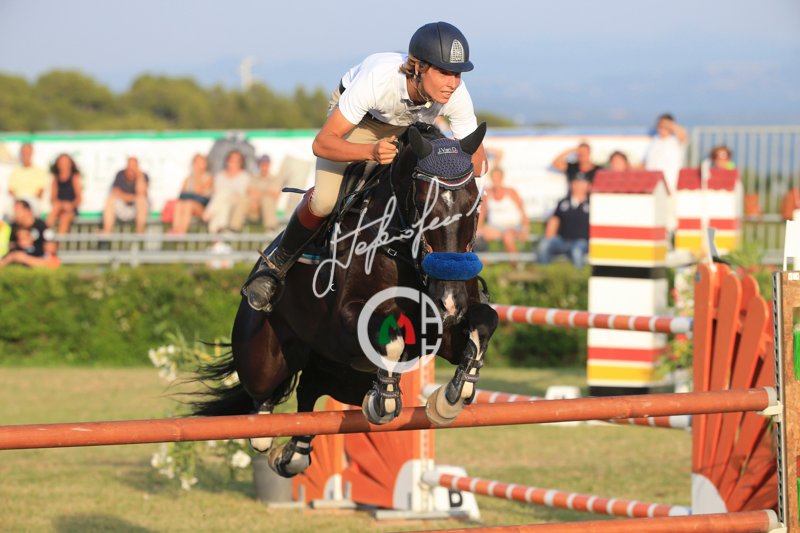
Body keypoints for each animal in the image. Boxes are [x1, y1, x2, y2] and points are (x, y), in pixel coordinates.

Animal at [193, 122, 498, 477]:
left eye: (475, 204)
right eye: (424, 205)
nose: (451, 300)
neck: (399, 249)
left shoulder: (439, 331)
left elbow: (484, 322)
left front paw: (454, 395)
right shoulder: (347, 321)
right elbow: (391, 338)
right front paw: (385, 400)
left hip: (342, 375)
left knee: (309, 391)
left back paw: (294, 453)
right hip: (264, 358)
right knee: (263, 397)